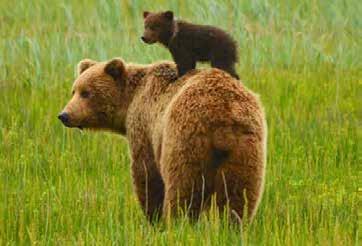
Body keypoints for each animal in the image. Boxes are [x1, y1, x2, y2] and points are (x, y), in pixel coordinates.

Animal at [57, 58, 266, 224]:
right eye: (74, 90)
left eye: (86, 92)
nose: (64, 115)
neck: (130, 100)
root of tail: (223, 115)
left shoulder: (144, 125)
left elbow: (146, 173)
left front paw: (153, 217)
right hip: (246, 147)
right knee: (240, 194)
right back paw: (232, 226)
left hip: (184, 139)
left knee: (183, 187)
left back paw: (177, 224)